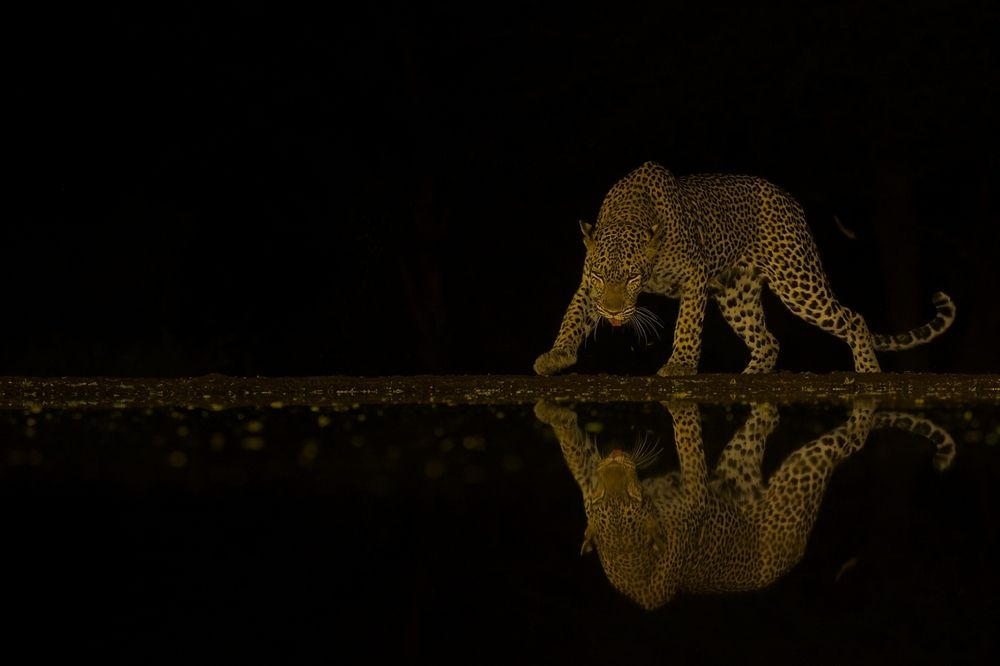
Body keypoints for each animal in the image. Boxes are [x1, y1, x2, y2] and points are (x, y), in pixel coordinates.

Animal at [534, 161, 955, 376]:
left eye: (634, 278)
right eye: (600, 277)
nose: (615, 311)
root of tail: (791, 202)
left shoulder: (694, 275)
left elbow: (687, 324)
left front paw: (681, 364)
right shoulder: (587, 287)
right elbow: (573, 316)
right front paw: (557, 355)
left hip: (796, 280)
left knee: (853, 319)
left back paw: (868, 371)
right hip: (738, 296)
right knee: (768, 341)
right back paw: (751, 379)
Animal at [534, 399, 954, 610]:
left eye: (632, 497)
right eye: (602, 498)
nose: (613, 463)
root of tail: (791, 556)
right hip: (795, 470)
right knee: (840, 438)